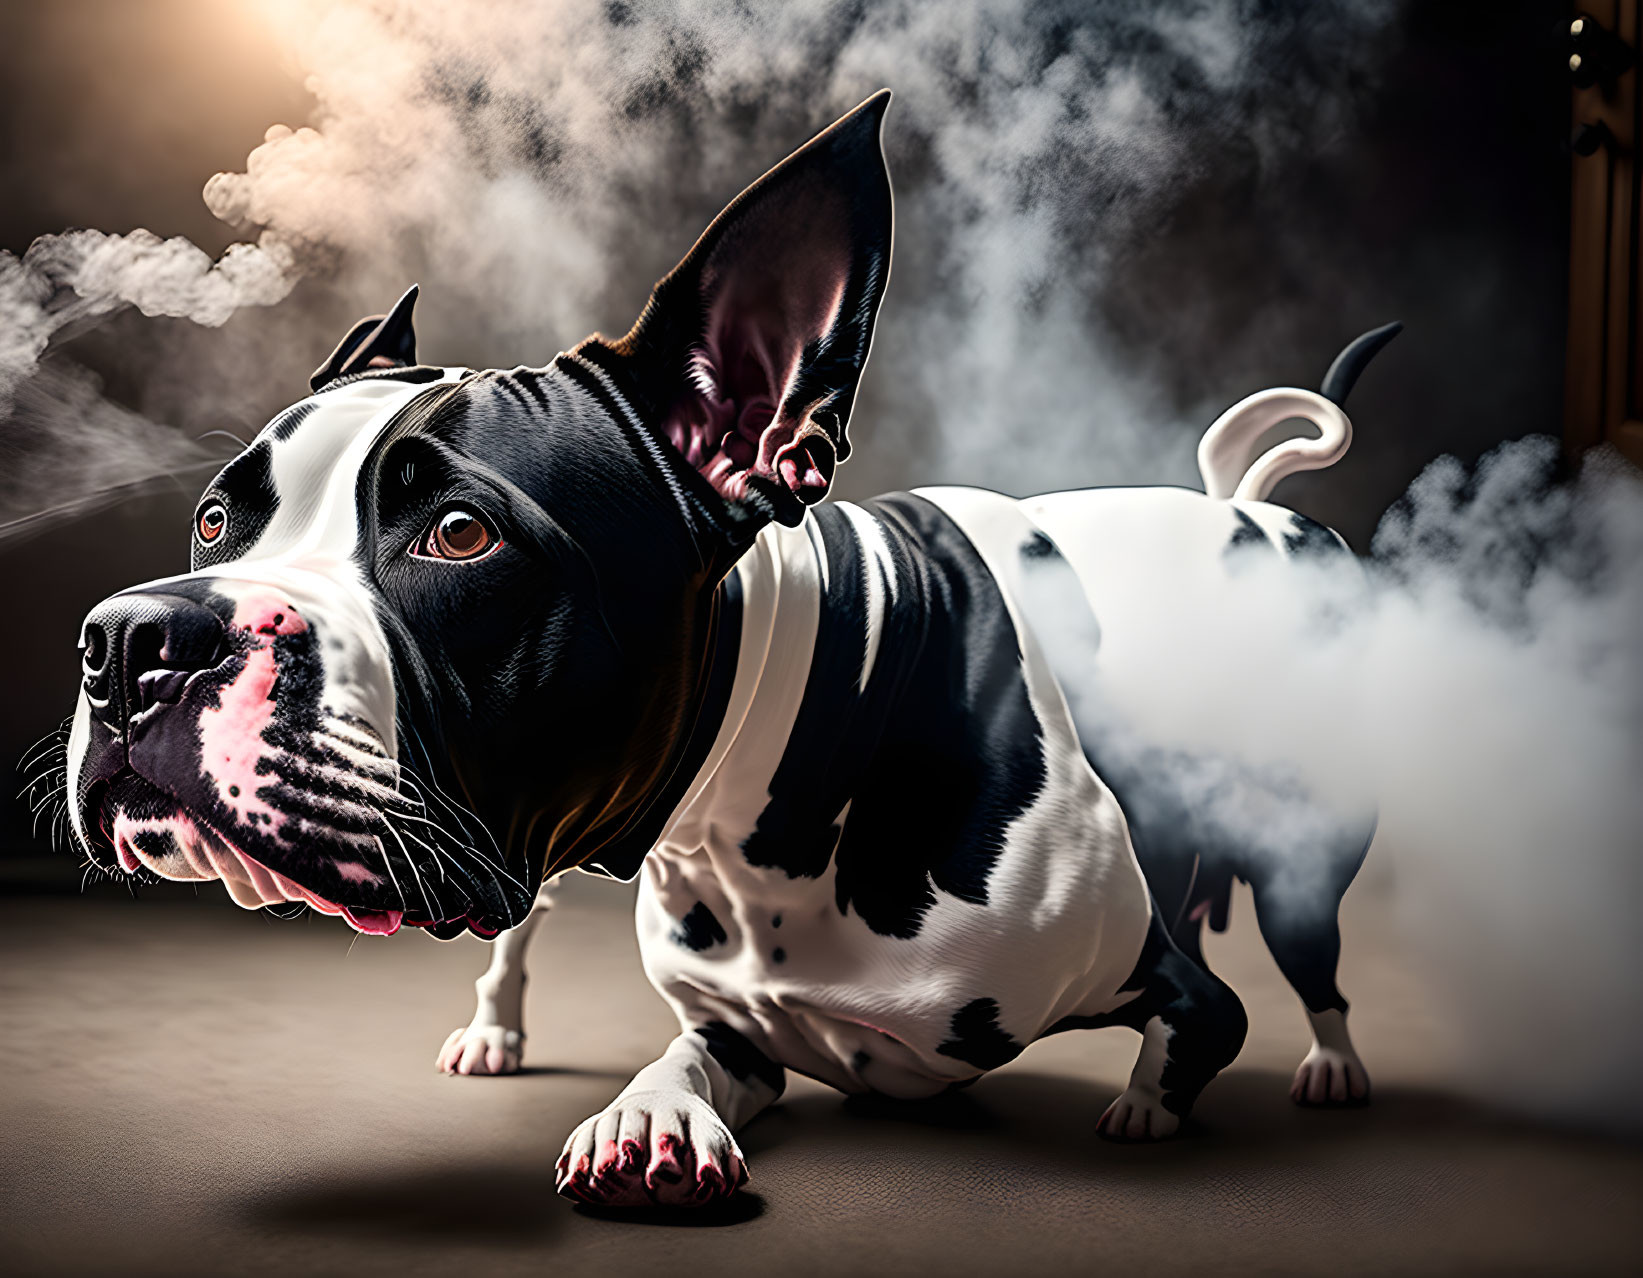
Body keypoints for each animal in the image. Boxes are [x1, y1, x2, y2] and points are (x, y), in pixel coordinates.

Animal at [57, 91, 1386, 1202]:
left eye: (458, 534)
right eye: (217, 519)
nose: (133, 640)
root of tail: (1252, 511)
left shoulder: (1173, 982)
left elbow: (1195, 1028)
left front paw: (1148, 1108)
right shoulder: (732, 1026)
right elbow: (682, 1057)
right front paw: (648, 1116)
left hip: (1303, 854)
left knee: (1312, 959)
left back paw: (1331, 1068)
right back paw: (494, 1028)